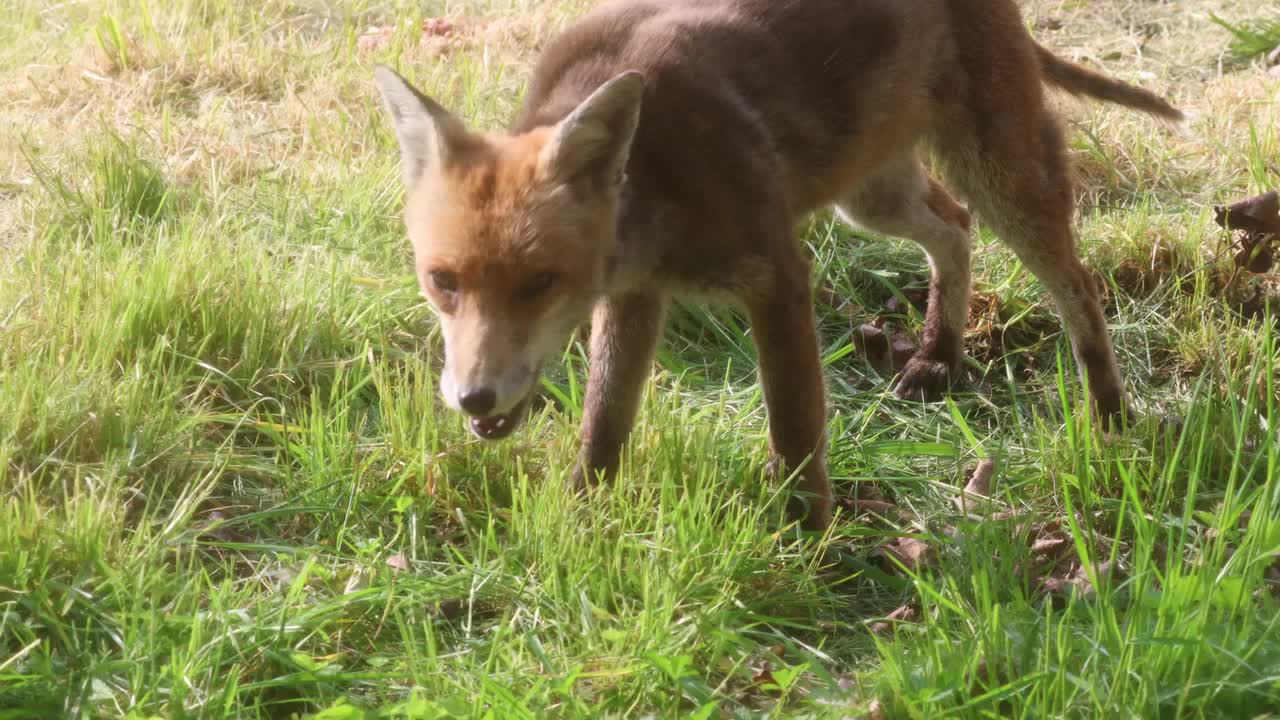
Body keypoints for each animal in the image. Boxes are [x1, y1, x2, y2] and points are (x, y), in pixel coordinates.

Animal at [373, 0, 1182, 527]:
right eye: (442, 283)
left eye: (540, 284)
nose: (472, 398)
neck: (657, 177)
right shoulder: (634, 297)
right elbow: (604, 423)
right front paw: (582, 517)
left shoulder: (778, 279)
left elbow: (794, 431)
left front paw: (809, 539)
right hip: (871, 197)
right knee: (954, 229)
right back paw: (939, 353)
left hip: (1001, 179)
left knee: (1076, 285)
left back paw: (1111, 417)